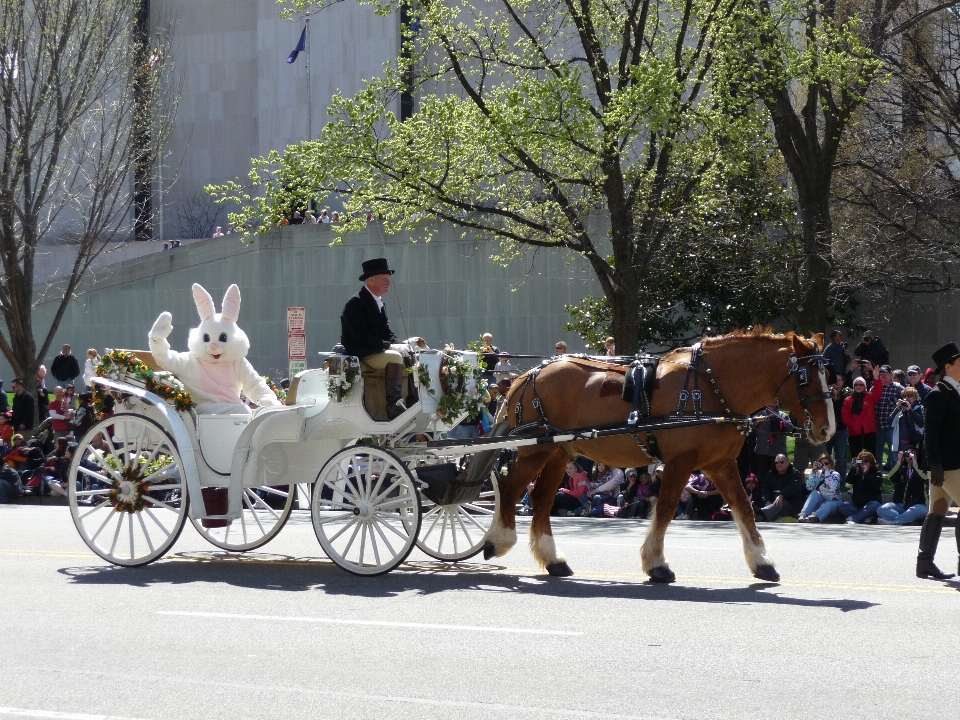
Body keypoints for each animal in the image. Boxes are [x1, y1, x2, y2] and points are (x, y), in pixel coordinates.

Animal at [488, 330, 832, 584]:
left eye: (828, 374)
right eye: (804, 377)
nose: (827, 428)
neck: (711, 387)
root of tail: (530, 373)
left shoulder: (720, 463)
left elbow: (744, 508)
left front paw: (762, 562)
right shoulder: (682, 460)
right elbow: (665, 508)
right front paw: (656, 564)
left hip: (558, 452)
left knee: (541, 499)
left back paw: (553, 559)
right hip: (536, 449)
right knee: (510, 489)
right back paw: (498, 540)